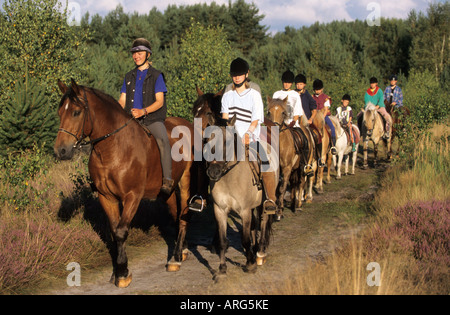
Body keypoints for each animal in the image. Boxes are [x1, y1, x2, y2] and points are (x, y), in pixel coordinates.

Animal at [53, 79, 194, 288]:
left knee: (184, 215)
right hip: (167, 191)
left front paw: (122, 273)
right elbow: (114, 231)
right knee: (176, 214)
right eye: (60, 112)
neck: (113, 148)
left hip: (185, 181)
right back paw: (182, 250)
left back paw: (175, 259)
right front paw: (119, 271)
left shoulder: (132, 196)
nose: (60, 151)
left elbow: (121, 232)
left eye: (76, 112)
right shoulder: (106, 197)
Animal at [204, 116, 274, 282]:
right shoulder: (220, 210)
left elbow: (245, 239)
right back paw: (255, 250)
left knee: (264, 222)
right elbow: (223, 241)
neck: (229, 177)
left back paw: (260, 253)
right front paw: (222, 270)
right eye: (207, 141)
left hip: (264, 204)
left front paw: (250, 265)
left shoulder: (244, 211)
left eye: (228, 142)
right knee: (255, 225)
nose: (213, 172)